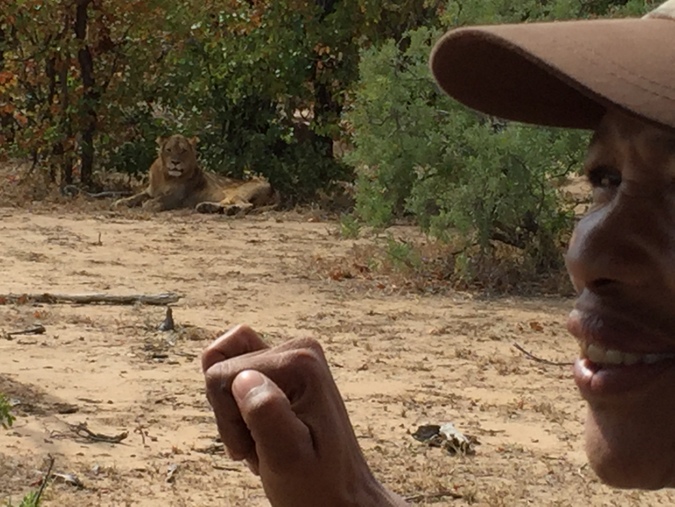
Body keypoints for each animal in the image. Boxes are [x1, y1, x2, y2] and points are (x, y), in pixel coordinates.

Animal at [112, 135, 278, 214]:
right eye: (169, 150)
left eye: (183, 150)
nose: (175, 162)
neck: (166, 177)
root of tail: (275, 189)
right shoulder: (149, 191)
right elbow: (133, 197)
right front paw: (119, 202)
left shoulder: (177, 197)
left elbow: (157, 201)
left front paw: (148, 205)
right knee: (226, 203)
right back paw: (206, 207)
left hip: (238, 191)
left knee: (246, 205)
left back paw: (230, 211)